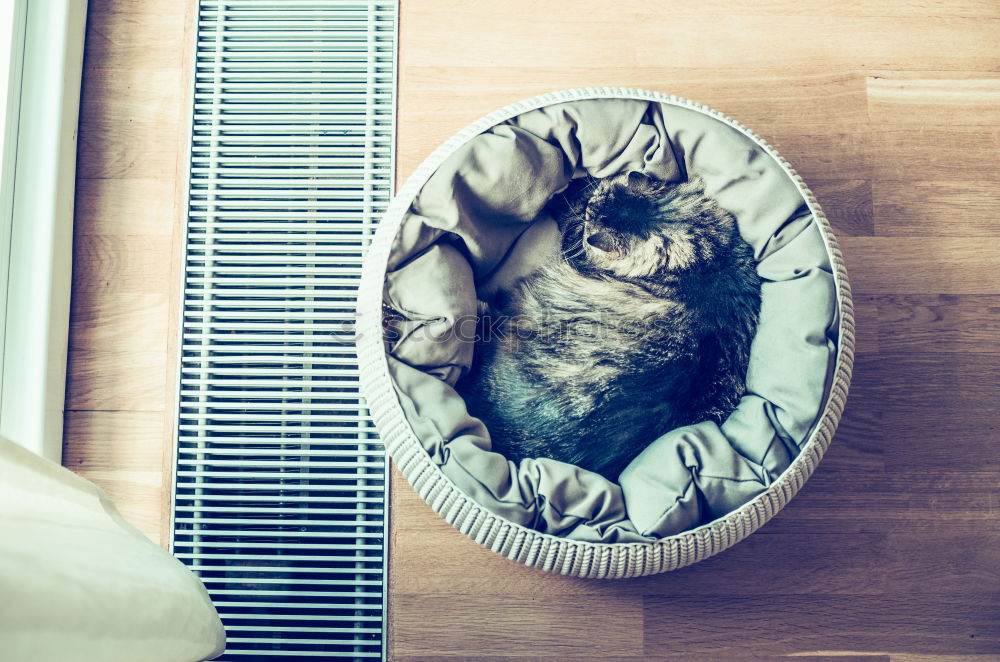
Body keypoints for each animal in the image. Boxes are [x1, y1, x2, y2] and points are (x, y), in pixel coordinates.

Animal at [458, 171, 760, 482]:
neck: (703, 261)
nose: (586, 203)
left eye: (590, 215)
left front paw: (563, 196)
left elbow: (570, 222)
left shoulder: (575, 247)